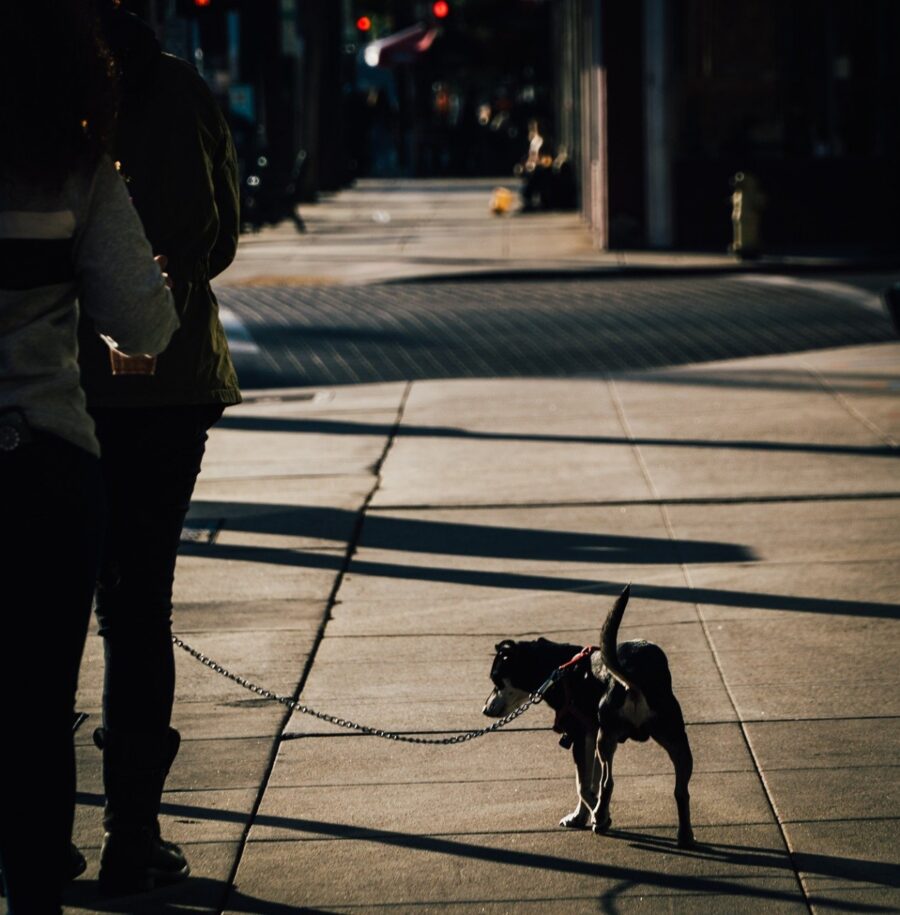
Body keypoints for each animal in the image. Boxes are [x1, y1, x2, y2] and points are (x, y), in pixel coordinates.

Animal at [482, 588, 692, 844]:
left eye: (496, 679)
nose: (485, 709)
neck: (557, 669)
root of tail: (635, 675)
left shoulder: (580, 736)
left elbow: (583, 785)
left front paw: (599, 815)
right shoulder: (591, 734)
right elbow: (590, 781)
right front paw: (581, 816)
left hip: (608, 736)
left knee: (609, 782)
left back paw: (600, 817)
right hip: (673, 738)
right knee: (681, 790)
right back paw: (685, 835)